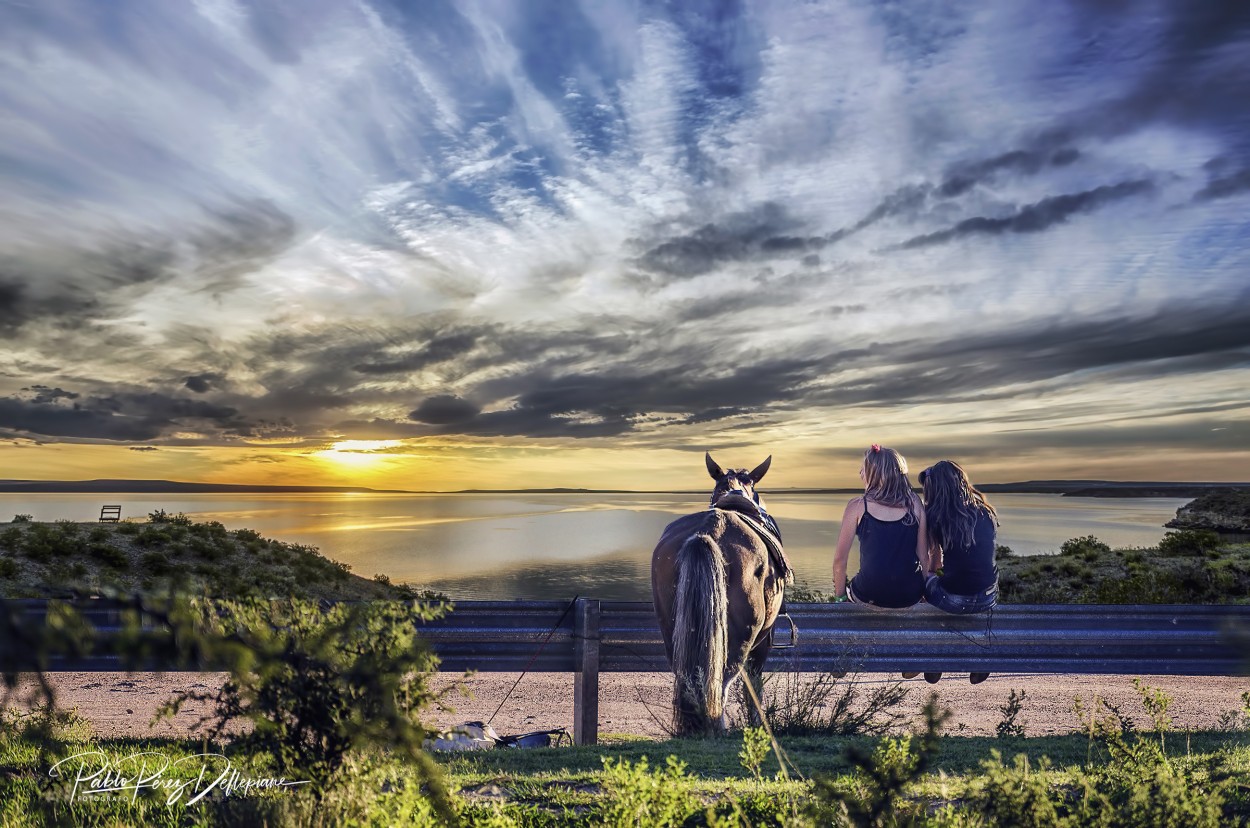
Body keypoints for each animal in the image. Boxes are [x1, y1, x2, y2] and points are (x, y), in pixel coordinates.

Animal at [650, 457, 785, 735]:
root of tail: (709, 530)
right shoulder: (762, 642)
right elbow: (754, 686)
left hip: (671, 629)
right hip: (742, 636)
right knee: (722, 681)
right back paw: (717, 727)